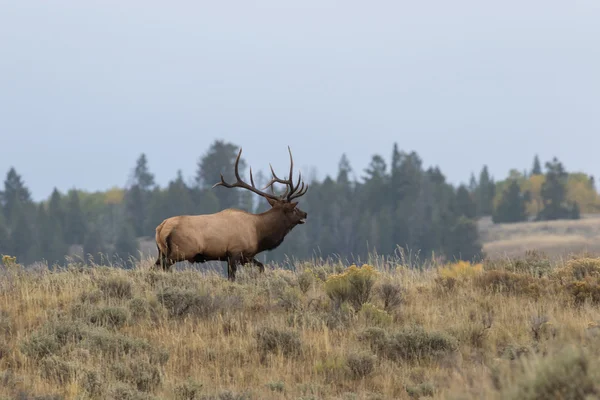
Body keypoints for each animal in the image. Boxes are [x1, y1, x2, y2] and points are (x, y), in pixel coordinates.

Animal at [152, 147, 310, 282]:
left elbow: (261, 267)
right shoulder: (234, 252)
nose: (305, 214)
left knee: (154, 267)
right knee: (164, 266)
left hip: (161, 251)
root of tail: (162, 228)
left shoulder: (246, 256)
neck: (258, 233)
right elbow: (232, 277)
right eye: (294, 209)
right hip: (180, 251)